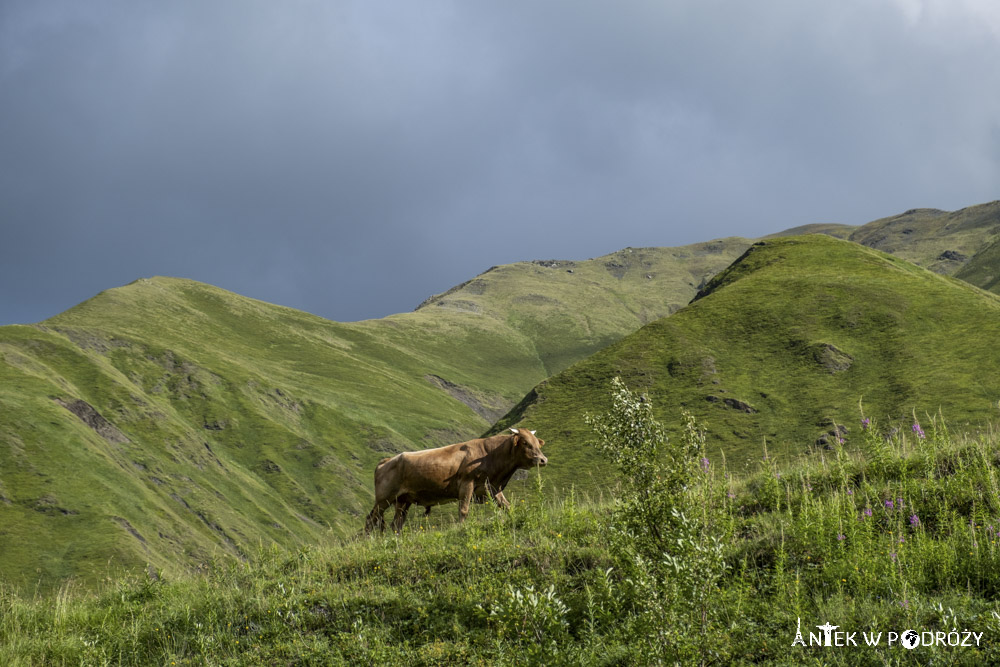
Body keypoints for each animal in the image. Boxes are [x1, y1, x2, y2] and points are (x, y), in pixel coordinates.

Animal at [364, 430, 548, 536]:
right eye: (525, 443)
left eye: (537, 443)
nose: (543, 459)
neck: (489, 455)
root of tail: (387, 460)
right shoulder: (467, 484)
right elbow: (464, 510)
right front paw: (461, 528)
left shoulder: (492, 487)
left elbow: (507, 507)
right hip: (384, 499)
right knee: (371, 519)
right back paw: (368, 540)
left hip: (403, 500)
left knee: (396, 523)